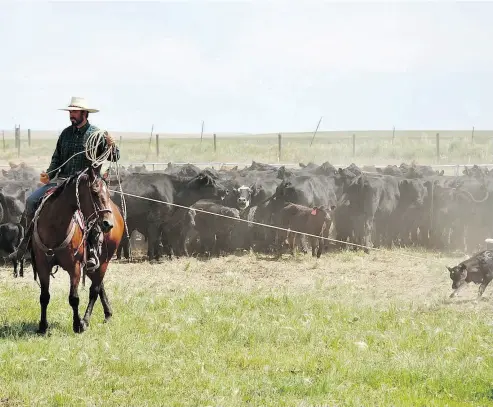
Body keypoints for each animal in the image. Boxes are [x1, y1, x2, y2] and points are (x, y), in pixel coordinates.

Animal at [30, 166, 124, 334]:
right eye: (94, 192)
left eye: (108, 193)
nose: (108, 223)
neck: (54, 227)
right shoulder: (42, 265)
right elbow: (44, 296)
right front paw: (42, 326)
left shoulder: (74, 267)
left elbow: (74, 298)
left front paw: (77, 324)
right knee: (100, 285)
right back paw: (108, 313)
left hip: (104, 261)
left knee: (95, 290)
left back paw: (86, 320)